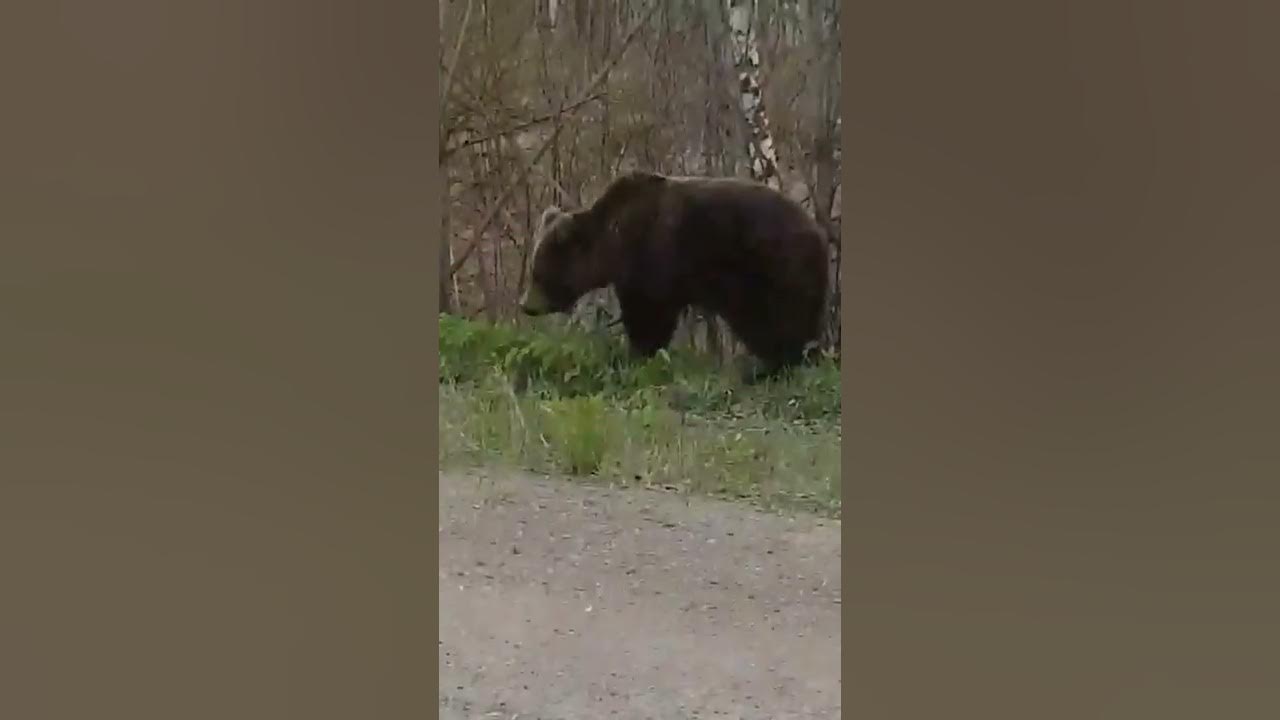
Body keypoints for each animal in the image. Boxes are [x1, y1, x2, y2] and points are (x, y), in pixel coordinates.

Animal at [519, 170, 831, 382]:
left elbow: (650, 317)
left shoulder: (652, 261)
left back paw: (776, 366)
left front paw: (638, 354)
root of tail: (818, 233)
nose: (526, 305)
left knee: (778, 321)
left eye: (538, 273)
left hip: (771, 269)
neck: (614, 246)